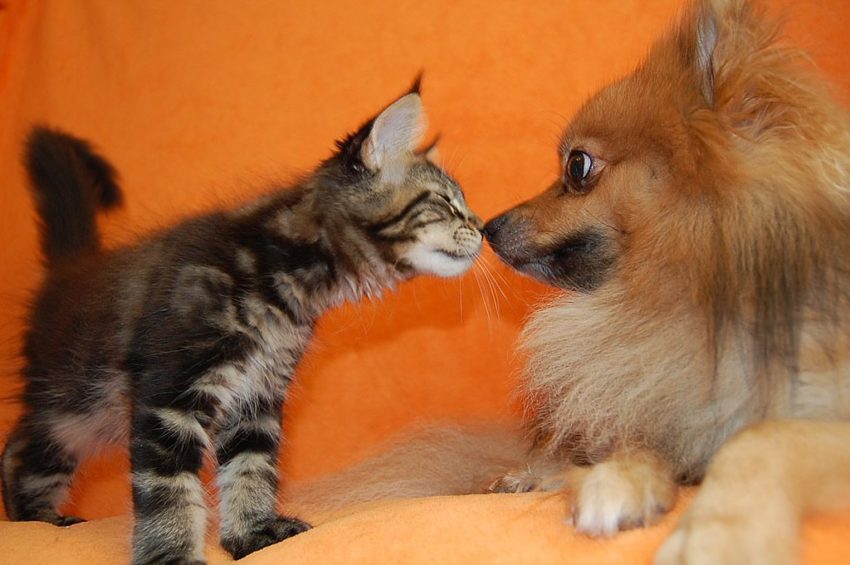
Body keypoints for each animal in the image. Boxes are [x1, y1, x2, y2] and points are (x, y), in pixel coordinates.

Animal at [0, 86, 480, 560]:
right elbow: (169, 485)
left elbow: (251, 468)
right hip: (76, 409)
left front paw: (253, 533)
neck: (284, 279)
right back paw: (38, 519)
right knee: (22, 447)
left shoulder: (258, 395)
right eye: (445, 203)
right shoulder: (171, 387)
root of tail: (69, 269)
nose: (479, 225)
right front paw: (171, 552)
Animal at [480, 1, 848, 560]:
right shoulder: (669, 401)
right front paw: (613, 479)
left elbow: (760, 438)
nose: (488, 226)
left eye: (577, 166)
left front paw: (722, 535)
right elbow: (638, 438)